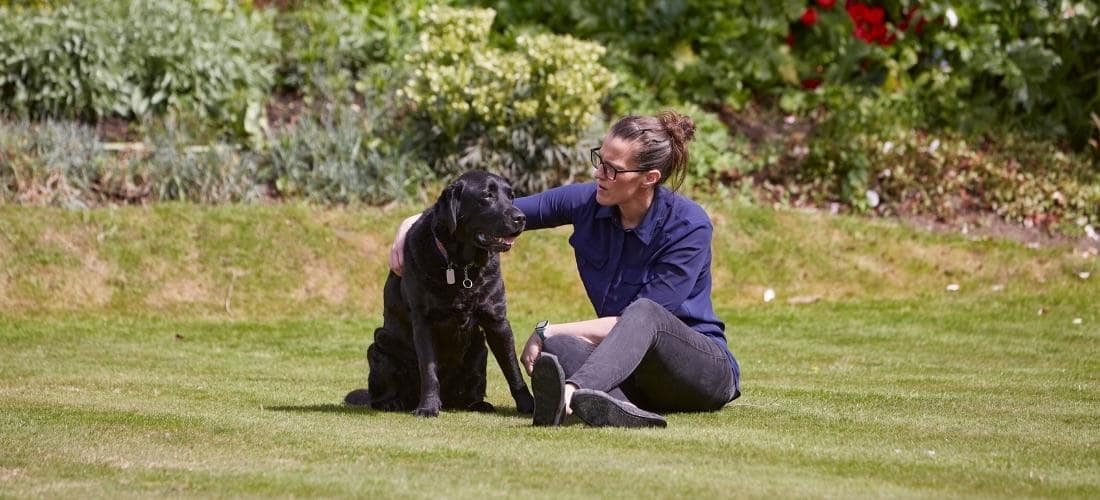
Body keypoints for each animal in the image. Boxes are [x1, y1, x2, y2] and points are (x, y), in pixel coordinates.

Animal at [343, 170, 532, 417]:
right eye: (487, 196)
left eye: (511, 196)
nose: (521, 217)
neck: (462, 268)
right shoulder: (423, 322)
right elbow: (429, 370)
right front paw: (428, 407)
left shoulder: (497, 321)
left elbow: (512, 369)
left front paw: (529, 404)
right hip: (380, 346)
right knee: (380, 395)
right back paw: (392, 403)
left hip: (479, 349)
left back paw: (476, 404)